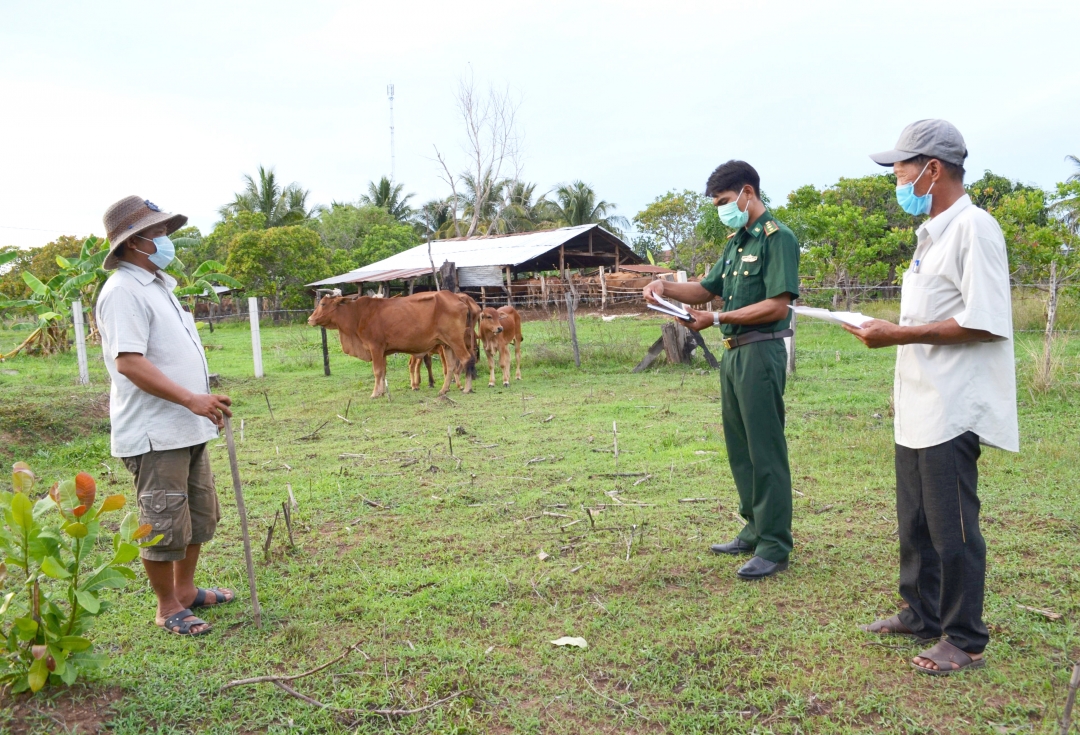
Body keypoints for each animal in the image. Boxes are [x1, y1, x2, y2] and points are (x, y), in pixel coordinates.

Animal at [304, 289, 473, 399]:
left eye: (323, 304)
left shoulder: (375, 348)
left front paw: (375, 393)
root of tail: (457, 298)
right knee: (450, 366)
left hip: (455, 340)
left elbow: (377, 371)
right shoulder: (383, 351)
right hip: (446, 344)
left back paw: (467, 388)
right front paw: (382, 392)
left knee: (466, 359)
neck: (357, 314)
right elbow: (383, 371)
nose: (310, 319)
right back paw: (443, 390)